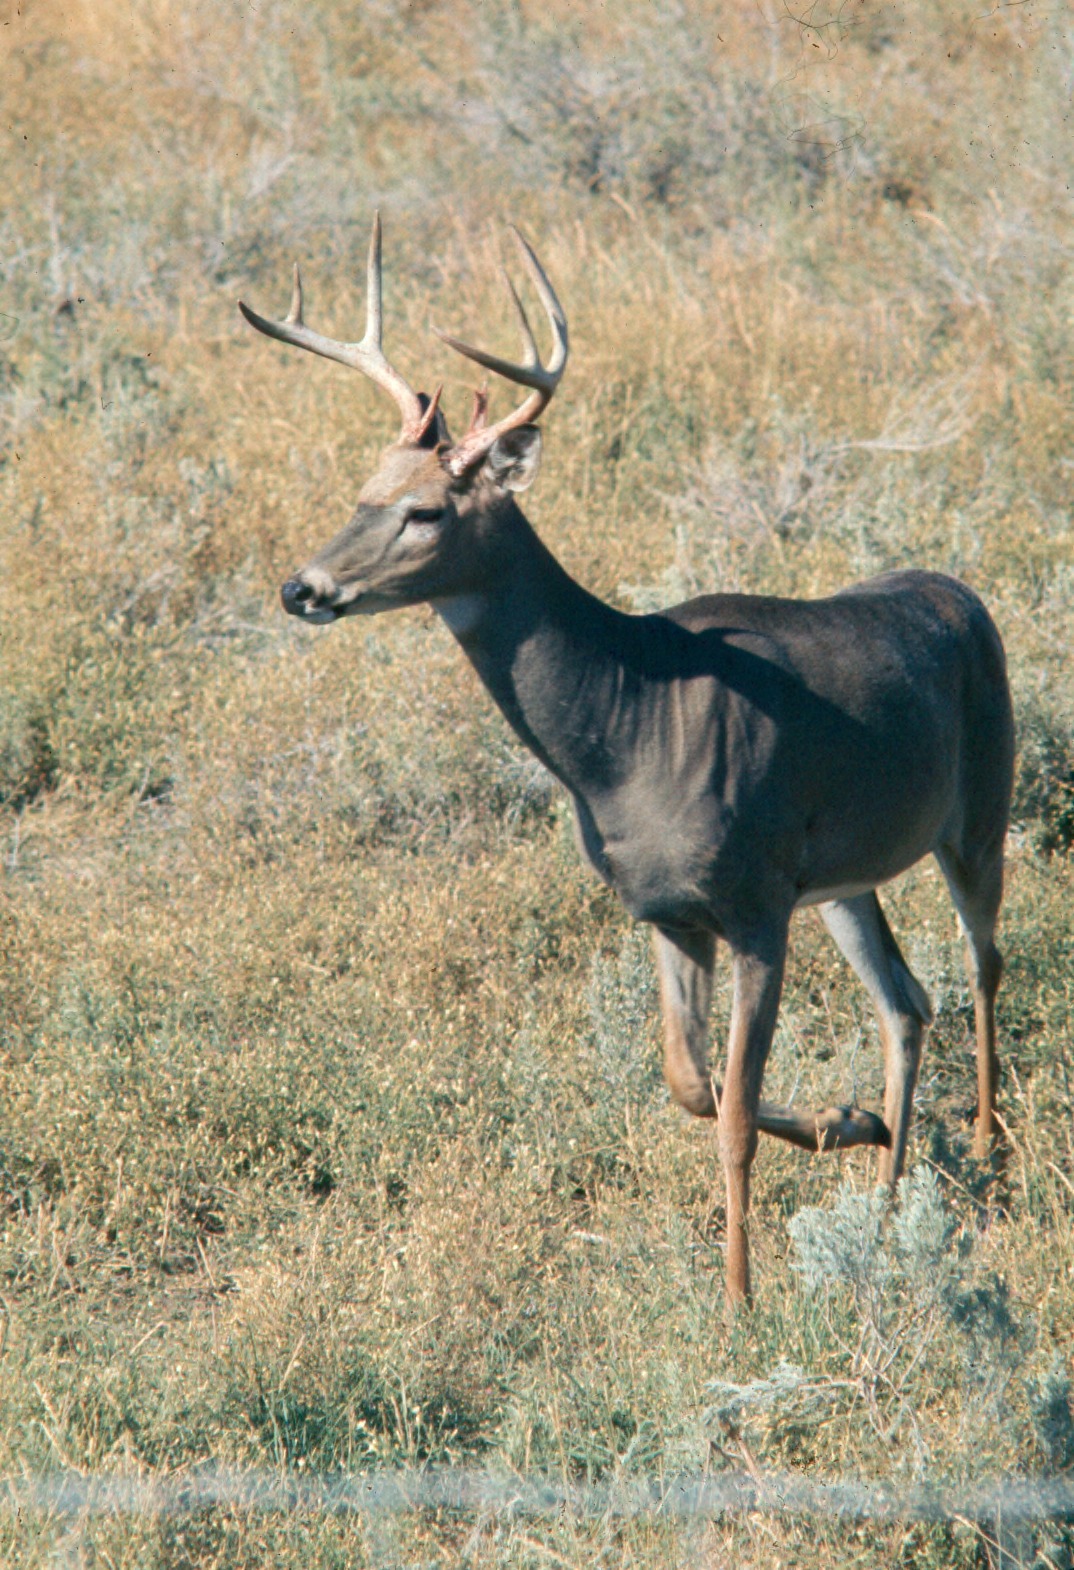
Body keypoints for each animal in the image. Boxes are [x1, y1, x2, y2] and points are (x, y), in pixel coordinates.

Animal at [239, 216, 1015, 1303]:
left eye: (427, 511)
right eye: (363, 491)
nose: (301, 587)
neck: (628, 732)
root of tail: (962, 594)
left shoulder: (754, 904)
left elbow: (732, 1115)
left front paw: (738, 1299)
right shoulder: (666, 910)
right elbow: (691, 1084)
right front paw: (843, 1120)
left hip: (978, 809)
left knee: (983, 962)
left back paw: (986, 1148)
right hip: (845, 880)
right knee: (907, 1002)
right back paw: (894, 1193)